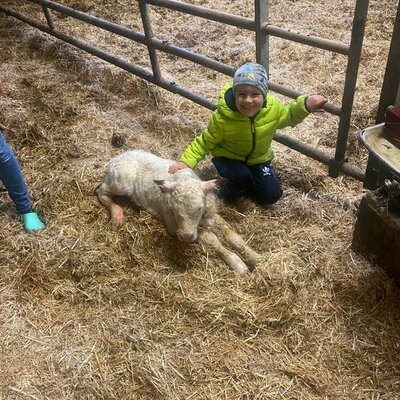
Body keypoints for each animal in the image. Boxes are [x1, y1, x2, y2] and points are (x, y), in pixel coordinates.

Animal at [96, 150, 260, 276]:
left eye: (200, 207)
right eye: (174, 209)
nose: (186, 237)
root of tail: (114, 159)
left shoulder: (211, 214)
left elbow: (233, 236)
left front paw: (257, 258)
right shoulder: (173, 226)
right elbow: (211, 238)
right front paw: (238, 264)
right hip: (121, 182)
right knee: (101, 191)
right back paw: (117, 214)